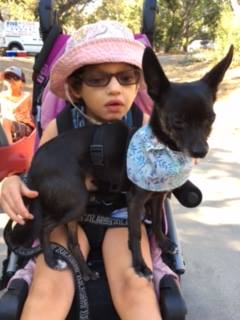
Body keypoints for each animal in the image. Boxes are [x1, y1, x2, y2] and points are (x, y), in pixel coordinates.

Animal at [126, 44, 233, 278]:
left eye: (211, 118)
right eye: (178, 121)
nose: (201, 151)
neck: (165, 150)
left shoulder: (158, 197)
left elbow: (158, 221)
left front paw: (163, 243)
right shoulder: (135, 202)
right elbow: (135, 233)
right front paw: (139, 263)